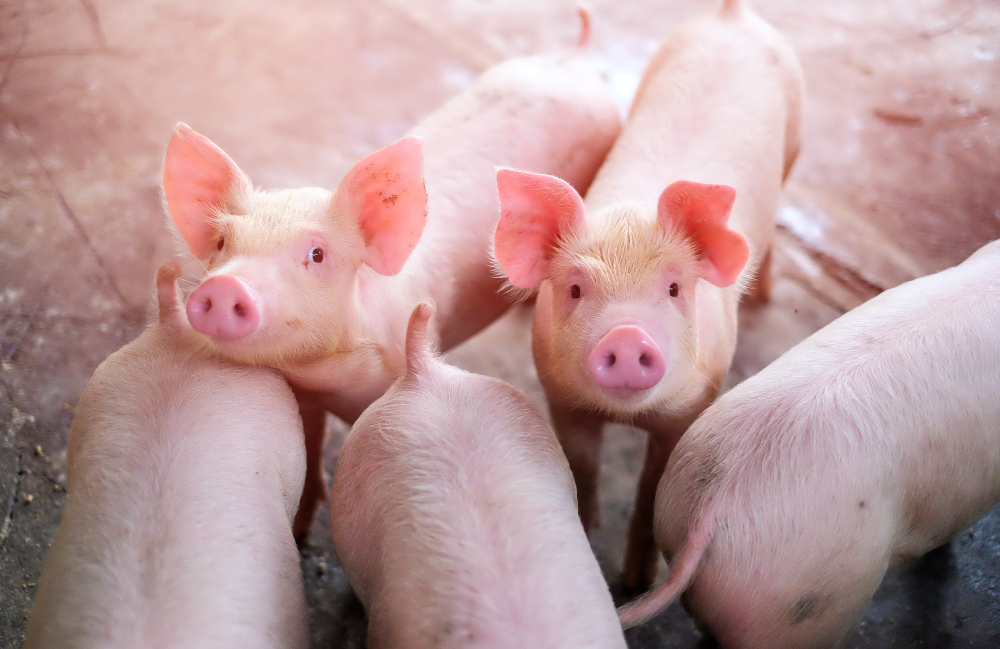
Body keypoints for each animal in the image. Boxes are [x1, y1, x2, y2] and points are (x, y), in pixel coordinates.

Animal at [162, 9, 621, 540]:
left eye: (317, 254)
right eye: (222, 243)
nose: (224, 286)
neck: (331, 377)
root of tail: (573, 57)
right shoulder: (305, 392)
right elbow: (310, 447)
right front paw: (299, 531)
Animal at [490, 0, 803, 589]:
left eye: (675, 287)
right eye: (575, 287)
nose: (628, 335)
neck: (628, 417)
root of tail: (731, 15)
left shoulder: (693, 403)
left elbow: (651, 487)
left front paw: (634, 581)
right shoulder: (562, 398)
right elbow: (583, 470)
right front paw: (590, 538)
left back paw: (766, 297)